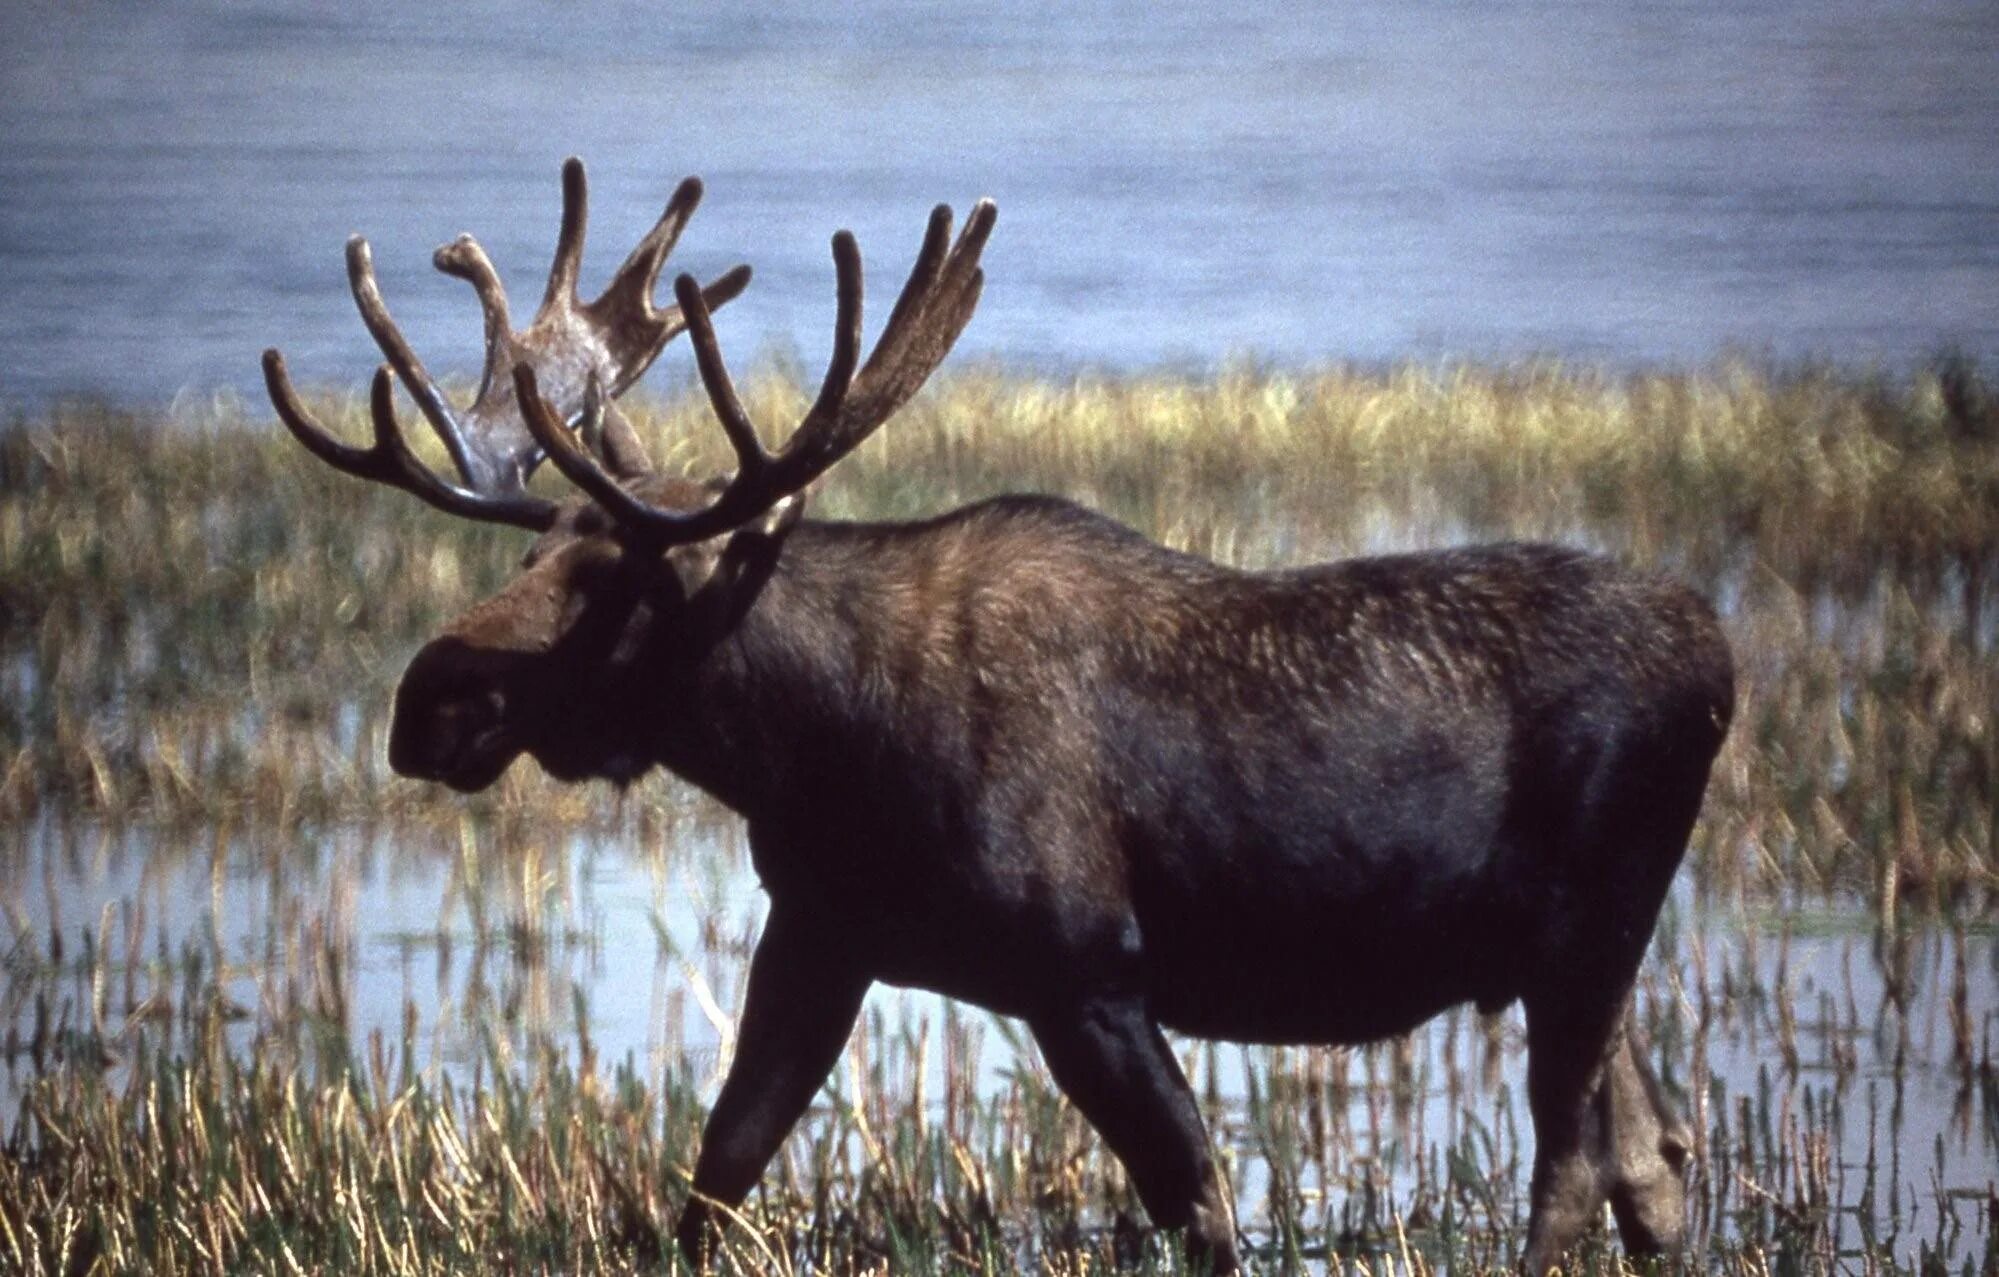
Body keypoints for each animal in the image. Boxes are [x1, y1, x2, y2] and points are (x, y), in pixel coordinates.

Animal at [261, 157, 1735, 1271]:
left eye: (622, 582)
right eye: (538, 553)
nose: (427, 701)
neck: (813, 746)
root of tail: (1719, 653)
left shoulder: (1087, 973)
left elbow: (1205, 1208)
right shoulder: (821, 933)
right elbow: (715, 1170)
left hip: (1590, 926)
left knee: (1572, 1166)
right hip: (1562, 954)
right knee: (1654, 1157)